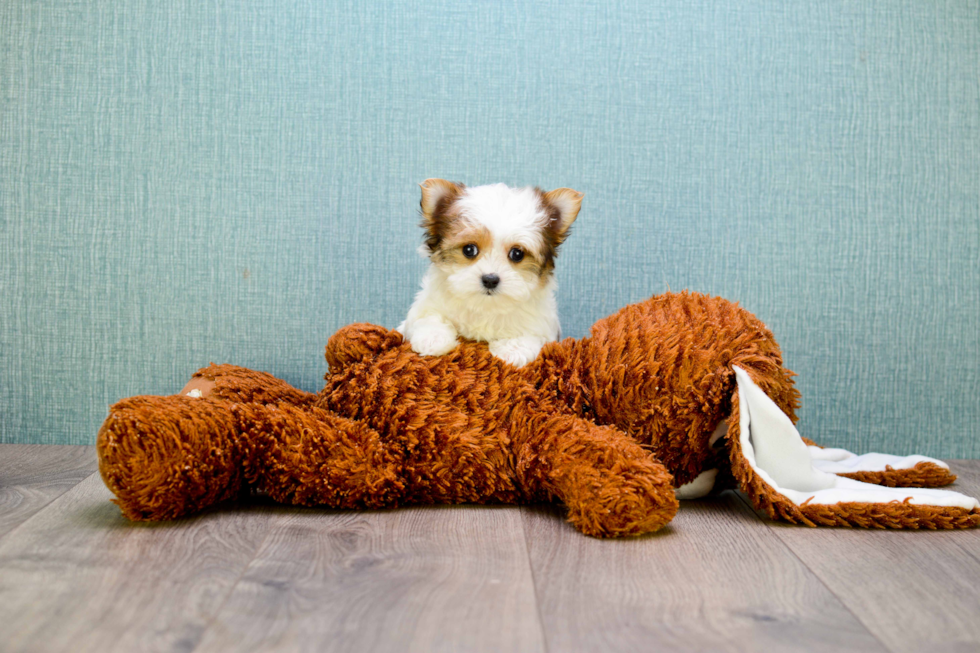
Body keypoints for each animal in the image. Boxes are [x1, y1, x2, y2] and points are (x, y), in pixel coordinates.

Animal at [396, 178, 580, 366]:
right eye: (469, 249)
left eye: (517, 254)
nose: (490, 279)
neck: (485, 305)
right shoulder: (427, 305)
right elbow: (427, 317)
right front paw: (433, 338)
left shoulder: (542, 325)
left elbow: (530, 334)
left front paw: (512, 349)